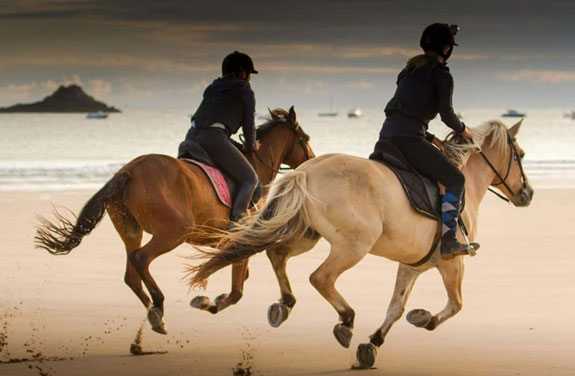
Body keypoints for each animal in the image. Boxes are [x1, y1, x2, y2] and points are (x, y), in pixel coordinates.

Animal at [36, 106, 316, 334]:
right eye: (306, 139)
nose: (313, 160)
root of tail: (128, 171)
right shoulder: (242, 240)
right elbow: (237, 290)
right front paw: (210, 302)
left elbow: (240, 276)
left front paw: (212, 299)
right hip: (174, 232)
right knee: (141, 259)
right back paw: (158, 307)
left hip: (131, 230)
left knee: (131, 274)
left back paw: (155, 316)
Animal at [189, 119, 536, 368]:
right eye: (520, 155)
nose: (528, 194)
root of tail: (306, 172)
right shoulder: (453, 262)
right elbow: (456, 304)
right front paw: (424, 319)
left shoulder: (413, 265)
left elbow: (396, 307)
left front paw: (372, 345)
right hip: (353, 246)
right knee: (320, 277)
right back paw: (345, 320)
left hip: (305, 234)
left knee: (277, 254)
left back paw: (284, 304)